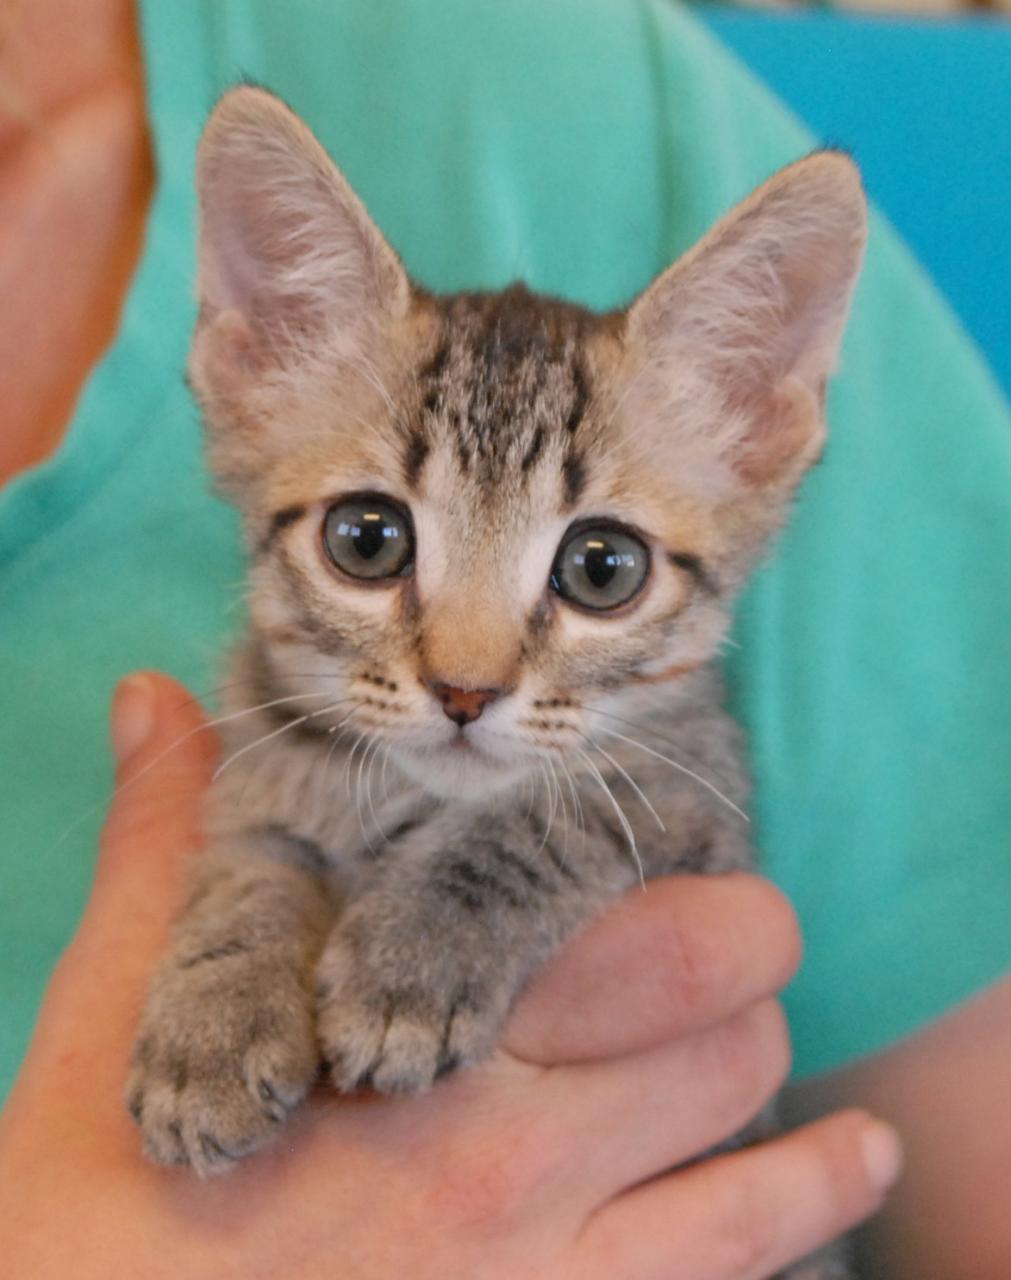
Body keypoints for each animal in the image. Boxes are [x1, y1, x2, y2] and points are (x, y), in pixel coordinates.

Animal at [126, 80, 865, 1239]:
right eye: (366, 539)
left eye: (602, 567)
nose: (464, 691)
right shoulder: (258, 762)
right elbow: (250, 859)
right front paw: (213, 1010)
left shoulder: (697, 804)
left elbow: (555, 816)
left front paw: (413, 956)